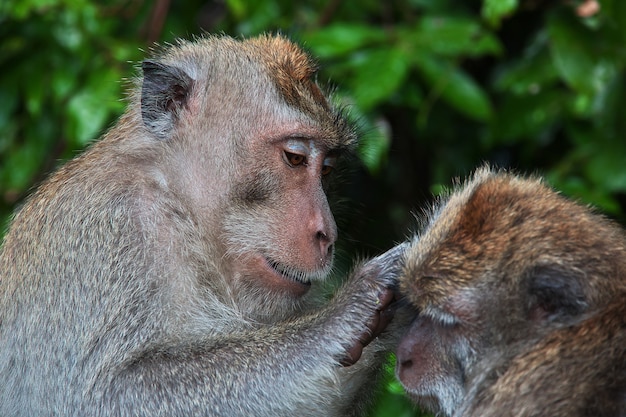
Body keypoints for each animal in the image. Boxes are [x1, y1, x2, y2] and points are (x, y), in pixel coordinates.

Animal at [0, 34, 400, 414]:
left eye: (327, 168)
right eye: (295, 157)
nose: (327, 234)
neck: (178, 206)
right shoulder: (107, 232)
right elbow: (102, 394)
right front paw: (349, 309)